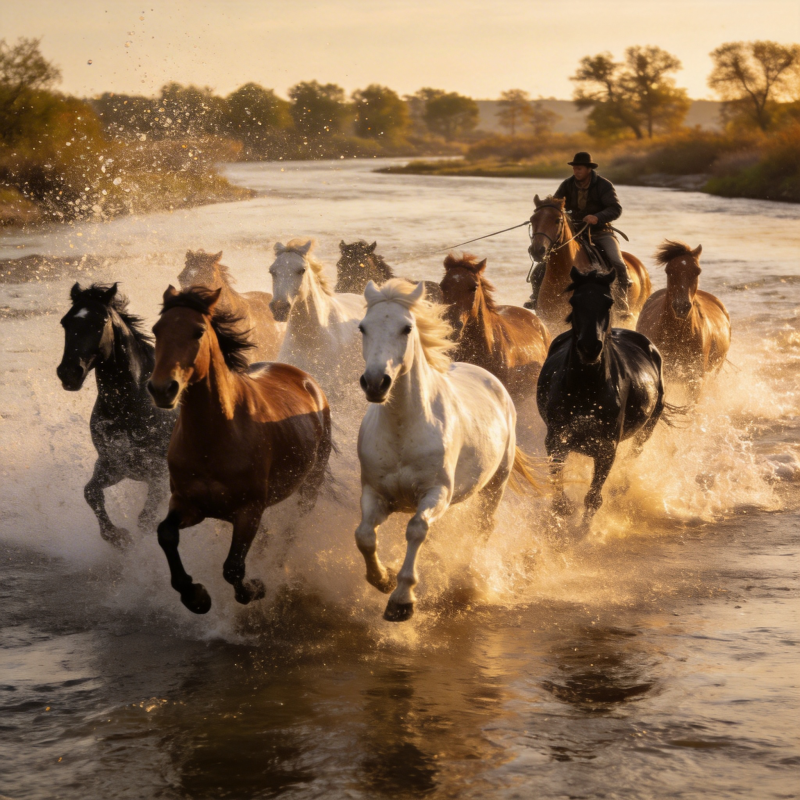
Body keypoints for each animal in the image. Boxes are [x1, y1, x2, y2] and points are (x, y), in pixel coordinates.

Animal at [57, 283, 175, 548]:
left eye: (99, 323)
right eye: (65, 322)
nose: (69, 372)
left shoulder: (159, 474)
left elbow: (146, 519)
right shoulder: (113, 465)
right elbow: (91, 493)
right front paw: (118, 537)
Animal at [147, 285, 332, 615]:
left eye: (197, 331)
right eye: (157, 329)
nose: (161, 388)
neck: (214, 439)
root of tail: (307, 380)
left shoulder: (248, 511)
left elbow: (233, 568)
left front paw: (257, 588)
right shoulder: (188, 504)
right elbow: (165, 534)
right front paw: (195, 596)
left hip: (311, 485)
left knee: (291, 530)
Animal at [355, 279, 539, 622]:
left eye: (406, 328)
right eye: (363, 327)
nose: (375, 382)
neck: (404, 429)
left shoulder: (436, 492)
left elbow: (416, 530)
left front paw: (401, 600)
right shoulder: (376, 493)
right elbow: (364, 536)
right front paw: (383, 579)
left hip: (496, 483)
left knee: (483, 527)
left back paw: (469, 576)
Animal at [537, 268, 666, 526]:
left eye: (608, 302)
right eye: (574, 301)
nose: (589, 347)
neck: (585, 389)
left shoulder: (606, 448)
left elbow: (593, 498)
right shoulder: (556, 440)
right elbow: (558, 489)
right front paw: (562, 516)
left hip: (649, 425)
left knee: (636, 451)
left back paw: (621, 487)